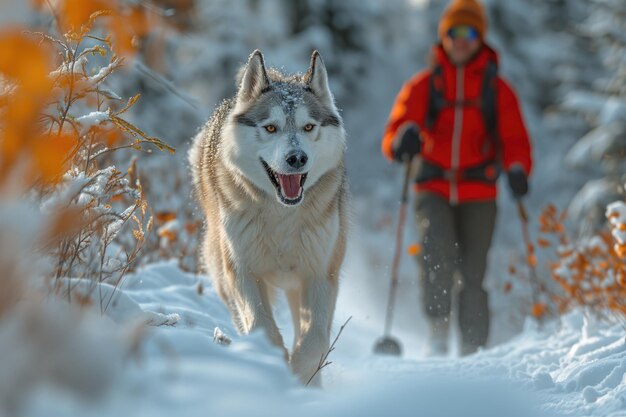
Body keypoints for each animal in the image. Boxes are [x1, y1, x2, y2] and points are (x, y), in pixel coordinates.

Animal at [188, 48, 348, 384]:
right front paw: (275, 366)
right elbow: (263, 329)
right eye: (271, 128)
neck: (282, 214)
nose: (297, 158)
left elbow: (315, 340)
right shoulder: (243, 272)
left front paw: (299, 376)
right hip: (222, 273)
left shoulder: (320, 274)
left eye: (308, 127)